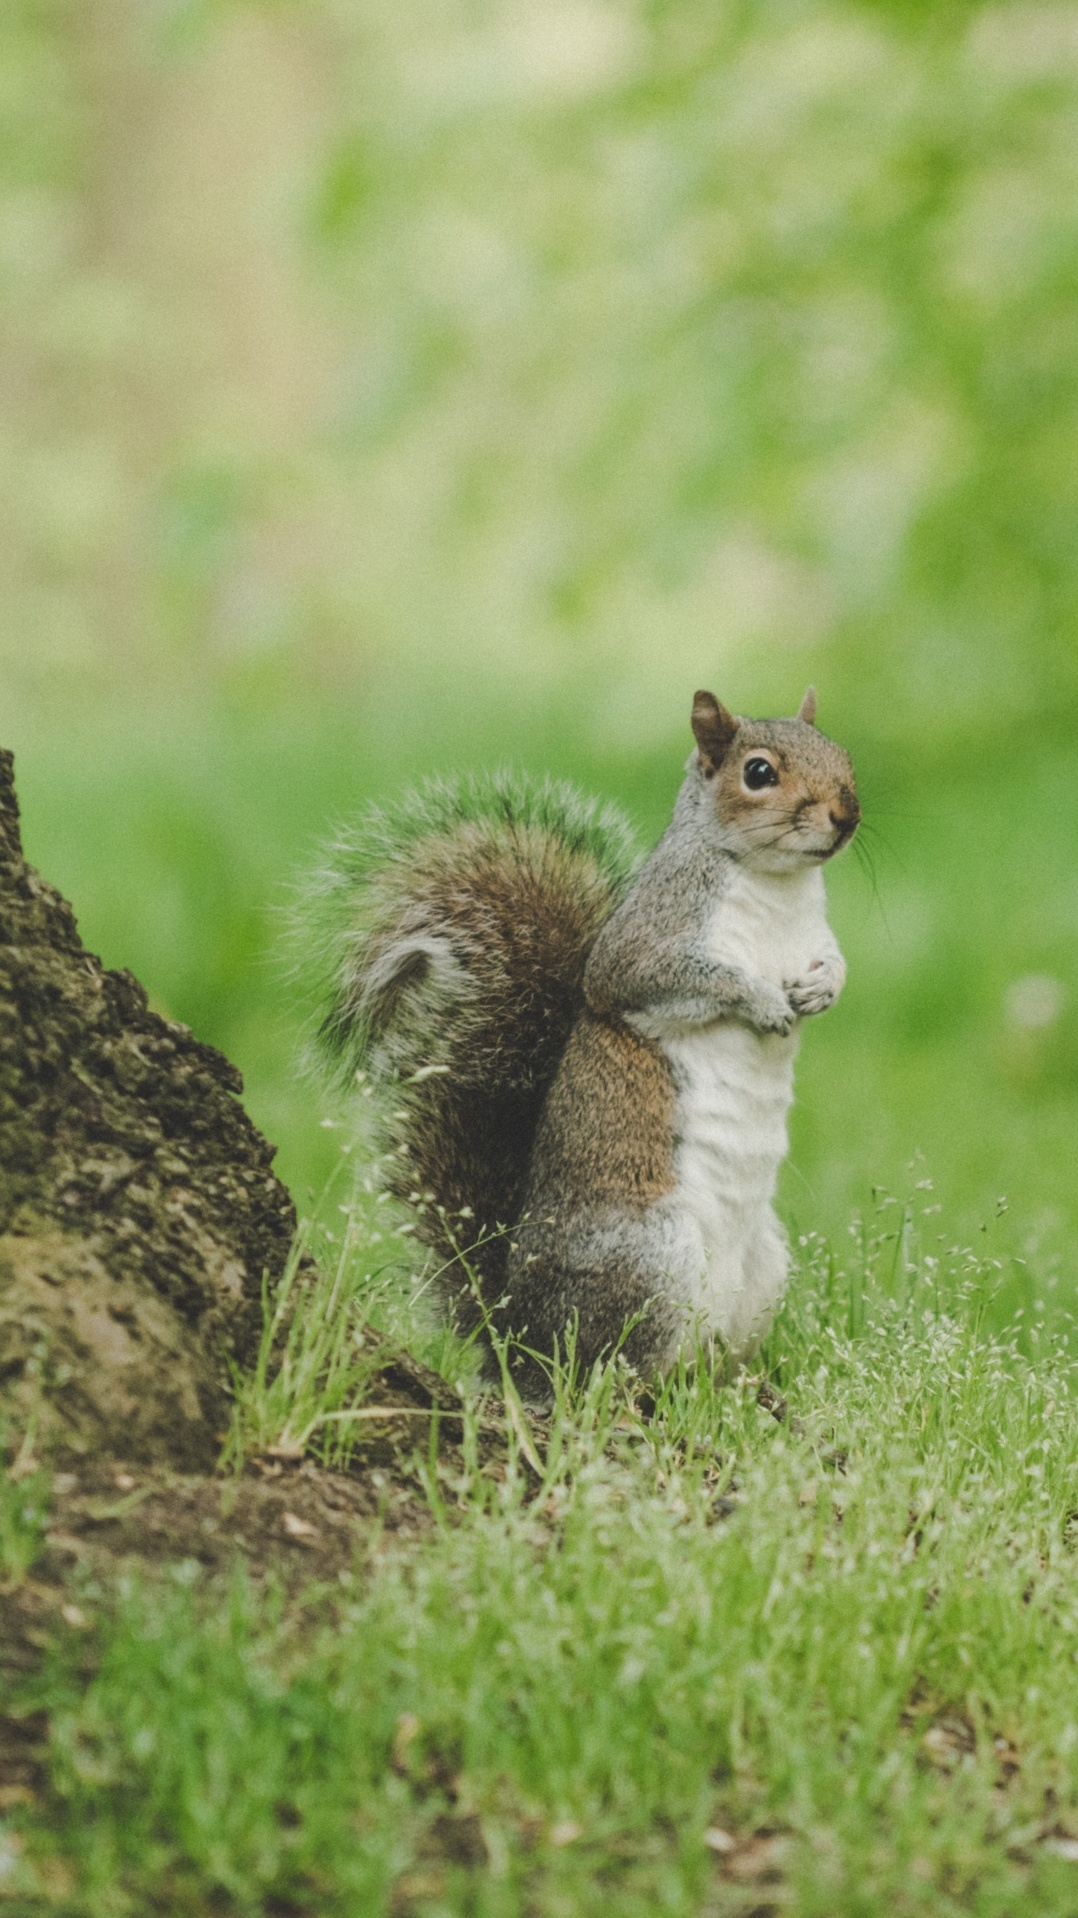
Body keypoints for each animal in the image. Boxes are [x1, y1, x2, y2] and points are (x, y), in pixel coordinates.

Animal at [299, 690, 855, 1396]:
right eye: (758, 773)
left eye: (843, 754)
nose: (847, 816)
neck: (777, 885)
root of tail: (514, 1339)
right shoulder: (646, 945)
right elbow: (676, 978)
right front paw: (761, 1000)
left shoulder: (815, 935)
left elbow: (834, 962)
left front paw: (822, 990)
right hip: (650, 1257)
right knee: (603, 1371)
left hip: (762, 1271)